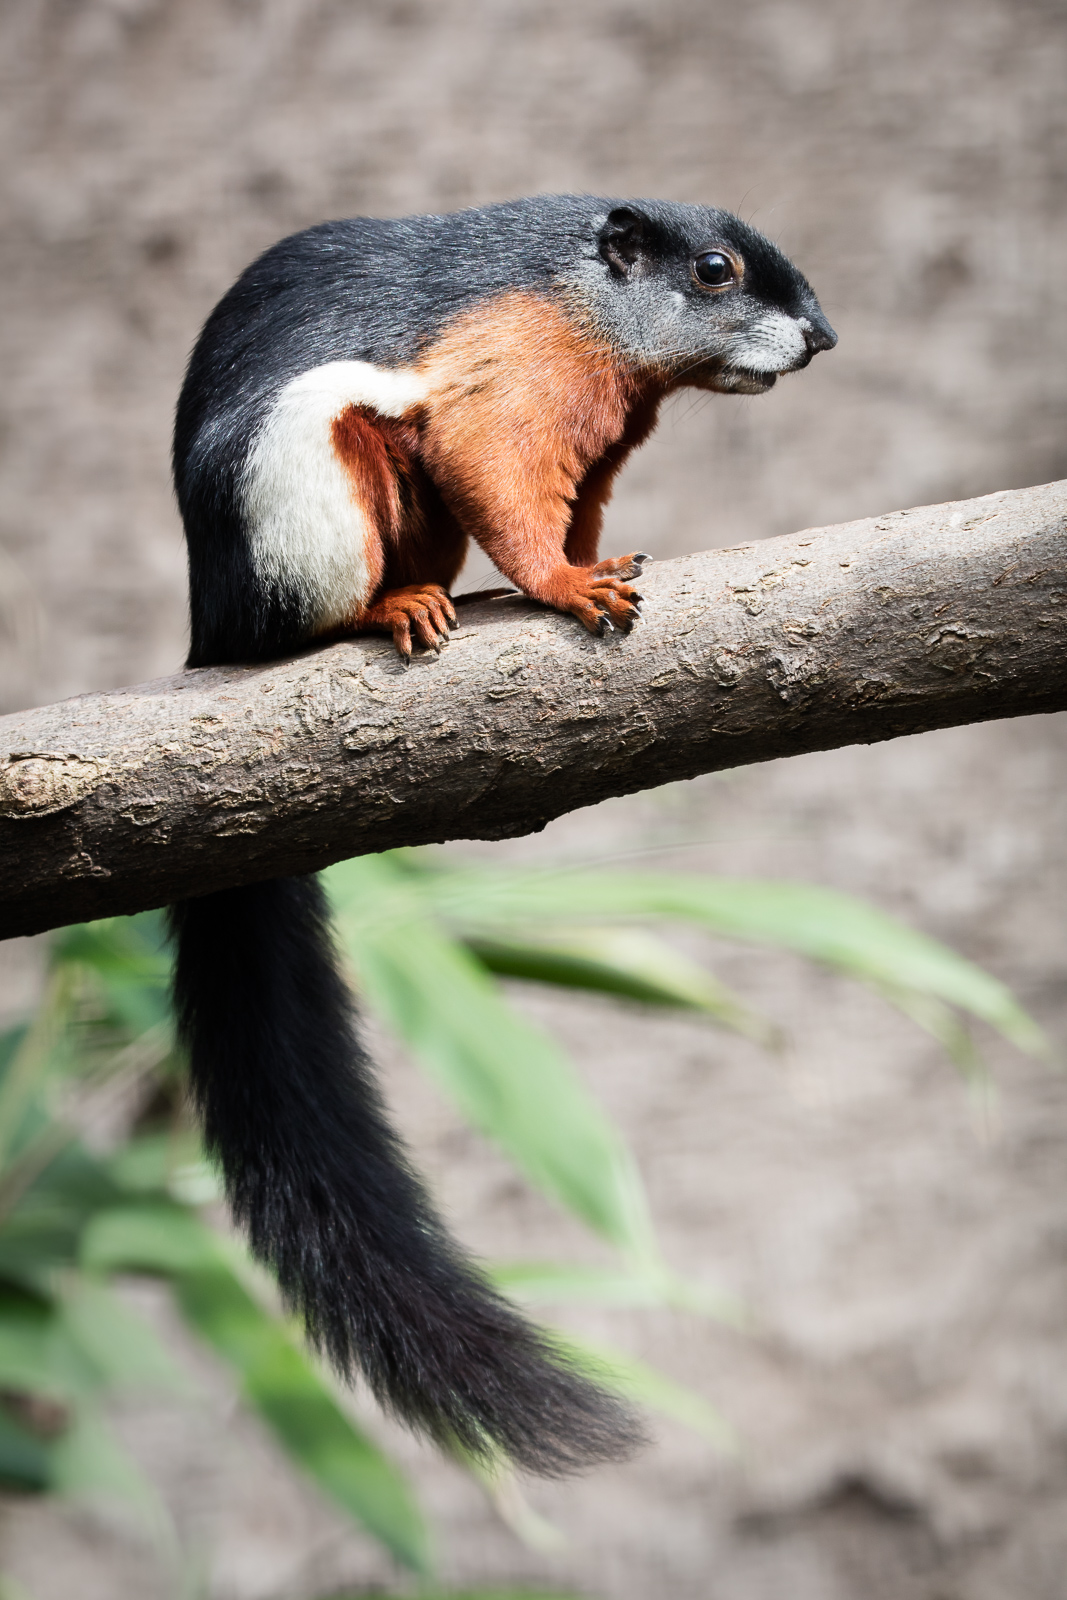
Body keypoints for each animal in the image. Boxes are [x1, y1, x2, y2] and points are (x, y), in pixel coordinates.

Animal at [171, 195, 836, 1474]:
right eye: (714, 270)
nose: (819, 338)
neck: (590, 311)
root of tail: (206, 624)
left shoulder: (608, 435)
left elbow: (576, 508)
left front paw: (594, 562)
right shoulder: (513, 378)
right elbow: (503, 478)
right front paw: (565, 589)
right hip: (298, 481)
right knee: (314, 607)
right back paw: (388, 611)